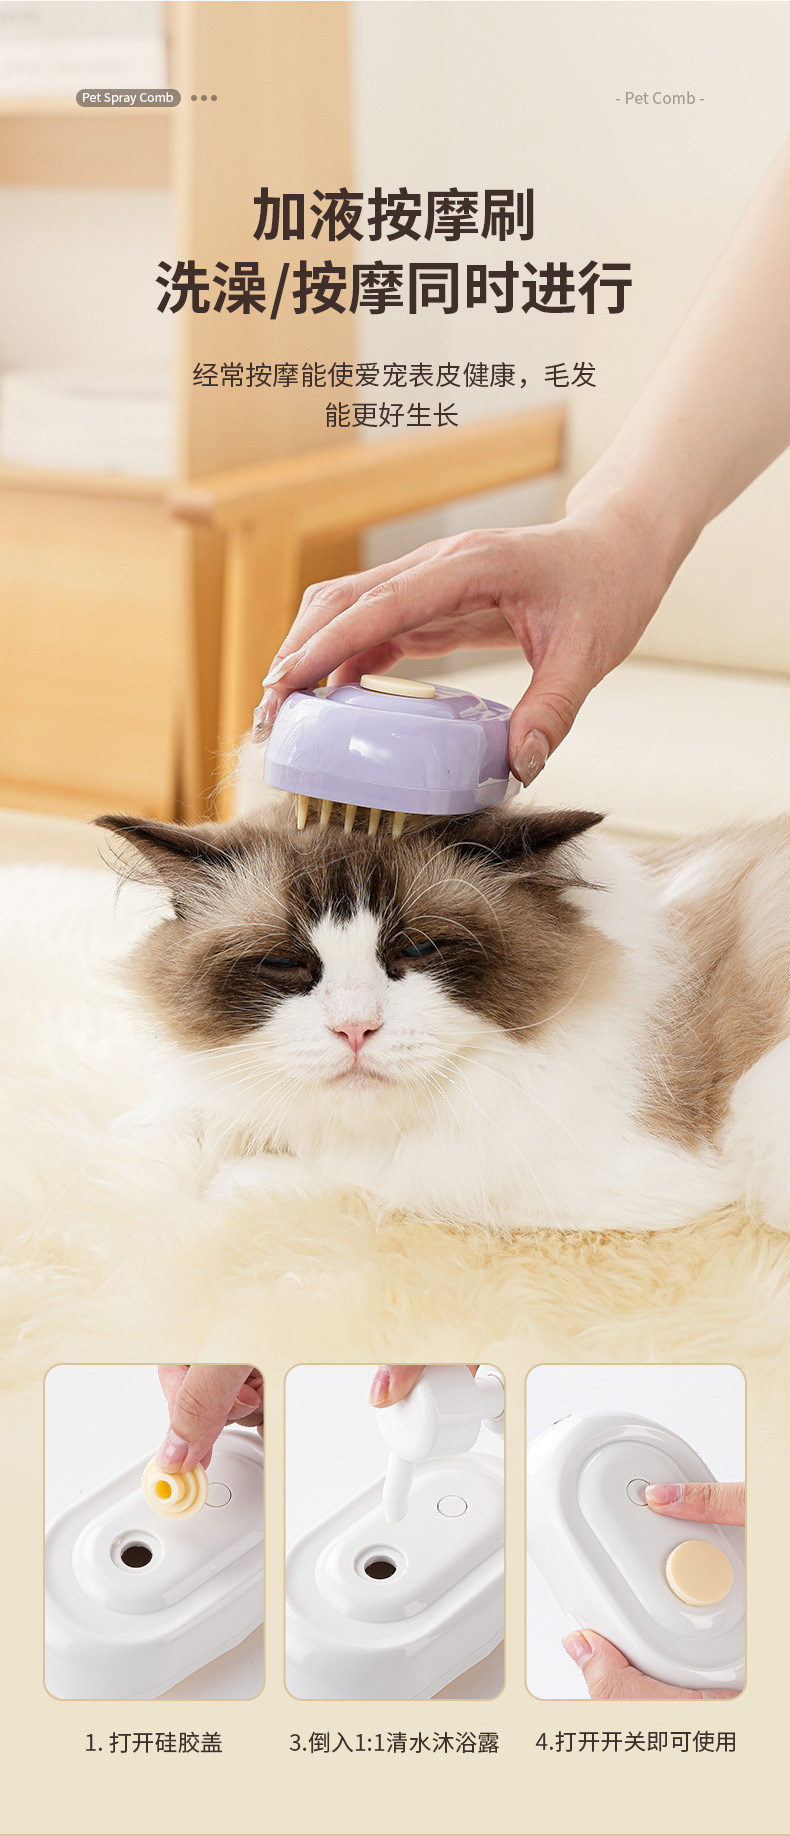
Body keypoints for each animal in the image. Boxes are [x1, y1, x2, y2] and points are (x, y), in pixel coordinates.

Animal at [96, 801, 790, 1233]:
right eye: (287, 963)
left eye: (418, 951)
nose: (355, 1029)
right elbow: (176, 1111)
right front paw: (120, 1144)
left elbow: (360, 1174)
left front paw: (217, 1179)